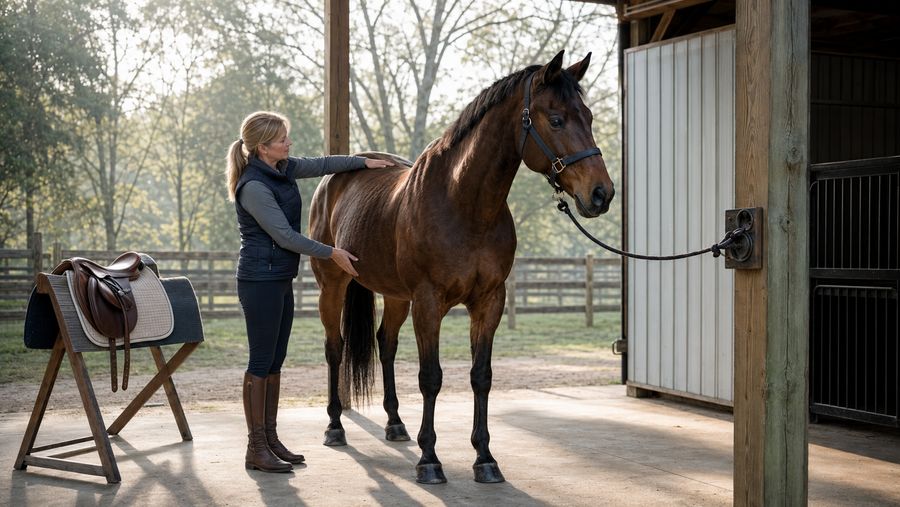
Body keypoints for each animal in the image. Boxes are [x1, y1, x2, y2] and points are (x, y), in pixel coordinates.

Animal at [308, 50, 615, 484]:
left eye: (587, 116)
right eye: (556, 120)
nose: (602, 194)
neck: (463, 203)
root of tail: (334, 180)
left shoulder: (488, 302)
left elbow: (481, 376)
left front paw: (484, 458)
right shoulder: (428, 302)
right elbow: (431, 377)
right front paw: (430, 460)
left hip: (396, 295)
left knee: (386, 344)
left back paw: (395, 424)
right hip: (332, 285)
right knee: (334, 348)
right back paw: (335, 427)